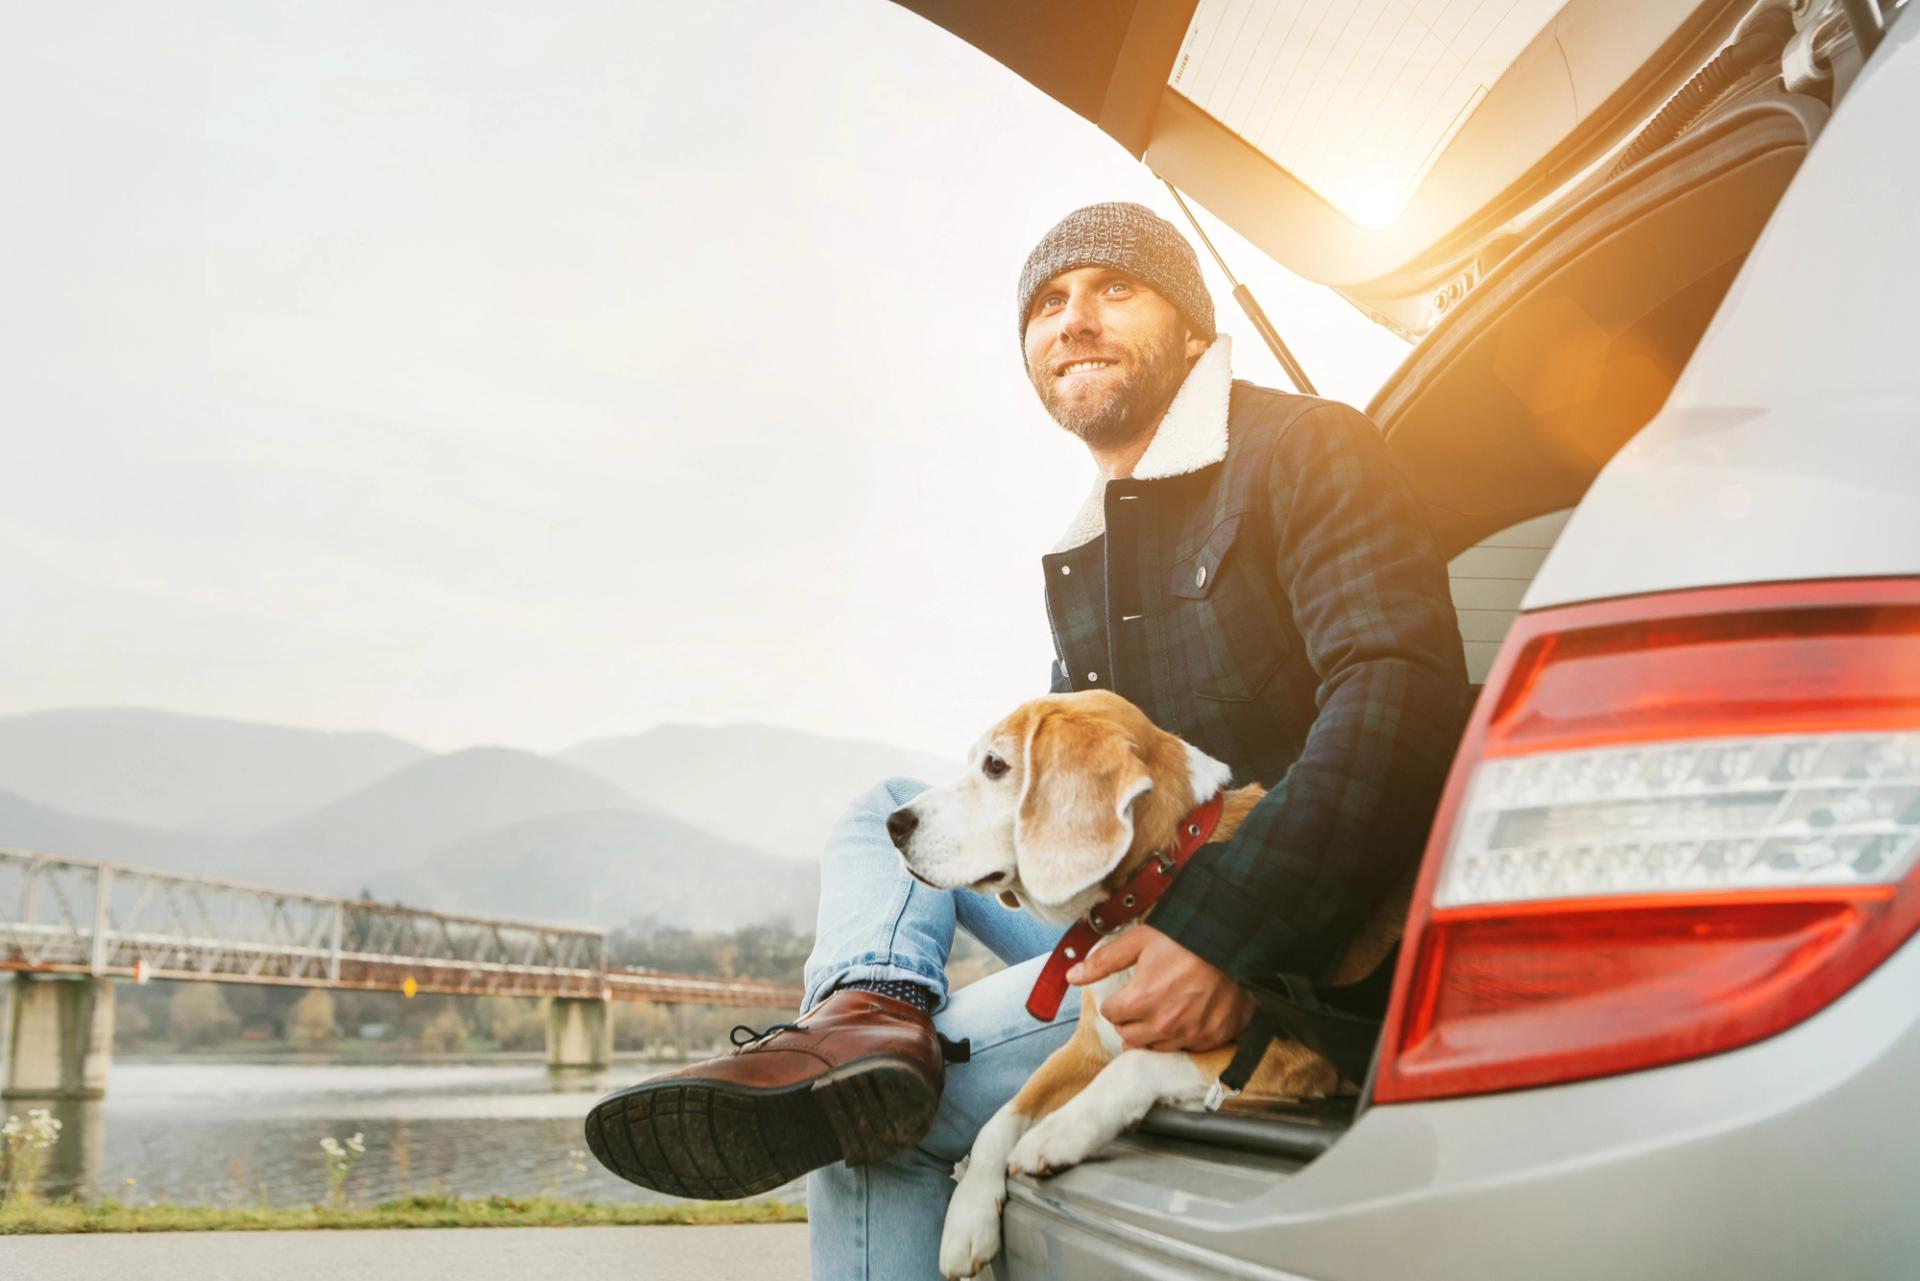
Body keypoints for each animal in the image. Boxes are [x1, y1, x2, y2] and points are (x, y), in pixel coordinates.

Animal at [890, 691, 1405, 1281]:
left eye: (995, 766)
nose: (893, 823)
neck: (1152, 883)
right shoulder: (1088, 1048)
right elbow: (1002, 1117)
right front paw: (967, 1217)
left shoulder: (1294, 1054)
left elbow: (1136, 1064)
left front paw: (1058, 1132)